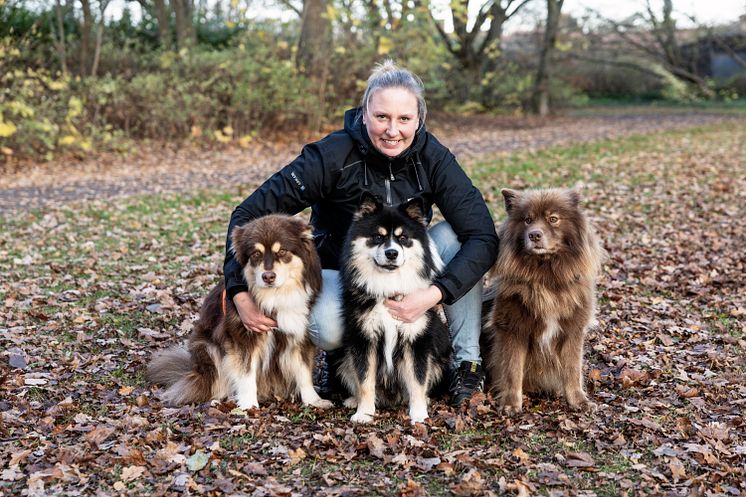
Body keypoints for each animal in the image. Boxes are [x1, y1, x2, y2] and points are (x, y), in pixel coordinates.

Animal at [146, 215, 332, 408]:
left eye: (282, 252)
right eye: (256, 254)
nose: (268, 277)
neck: (274, 297)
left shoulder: (300, 335)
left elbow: (304, 372)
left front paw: (313, 400)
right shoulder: (242, 337)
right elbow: (246, 374)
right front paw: (249, 405)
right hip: (208, 348)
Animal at [336, 193, 448, 422]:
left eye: (403, 238)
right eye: (378, 237)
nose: (391, 253)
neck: (388, 286)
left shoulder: (416, 339)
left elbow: (417, 379)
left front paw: (419, 413)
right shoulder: (364, 338)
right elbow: (365, 379)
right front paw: (364, 412)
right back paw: (353, 400)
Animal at [482, 188, 604, 412]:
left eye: (553, 219)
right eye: (527, 220)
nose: (534, 234)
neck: (545, 278)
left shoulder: (573, 330)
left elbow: (572, 369)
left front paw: (579, 401)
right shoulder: (512, 328)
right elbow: (512, 369)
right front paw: (511, 404)